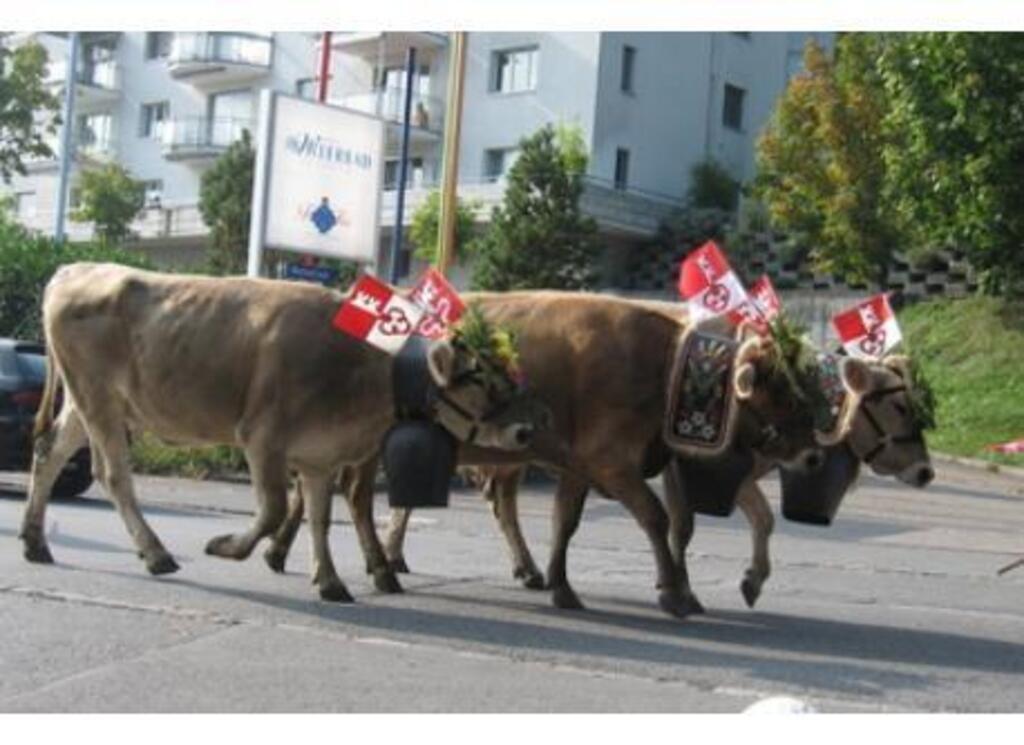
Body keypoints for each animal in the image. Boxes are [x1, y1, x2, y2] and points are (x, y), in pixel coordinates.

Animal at [20, 263, 545, 602]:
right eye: (478, 378)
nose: (525, 431)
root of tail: (76, 269)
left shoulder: (319, 456)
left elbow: (319, 517)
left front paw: (329, 581)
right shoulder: (262, 437)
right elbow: (272, 510)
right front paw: (228, 547)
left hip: (87, 404)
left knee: (48, 453)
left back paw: (35, 542)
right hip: (98, 397)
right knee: (113, 474)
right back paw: (155, 553)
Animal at [262, 291, 833, 618]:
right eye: (781, 390)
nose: (814, 455)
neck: (664, 368)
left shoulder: (584, 464)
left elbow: (570, 521)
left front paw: (561, 584)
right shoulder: (610, 462)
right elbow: (656, 518)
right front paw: (673, 593)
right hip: (366, 446)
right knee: (355, 495)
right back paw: (376, 568)